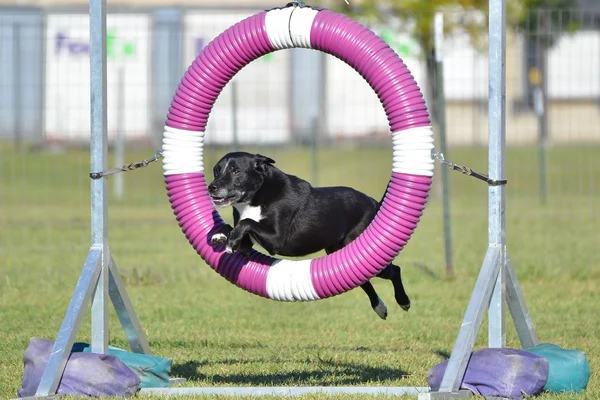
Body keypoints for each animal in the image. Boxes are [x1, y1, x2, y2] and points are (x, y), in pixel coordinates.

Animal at [209, 152, 410, 320]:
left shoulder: (275, 240)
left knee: (395, 270)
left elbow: (247, 222)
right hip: (341, 253)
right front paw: (220, 236)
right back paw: (380, 307)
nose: (212, 187)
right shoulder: (248, 244)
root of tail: (375, 203)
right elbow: (234, 226)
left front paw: (230, 241)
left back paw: (403, 301)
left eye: (236, 170)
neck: (258, 193)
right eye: (216, 170)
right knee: (364, 280)